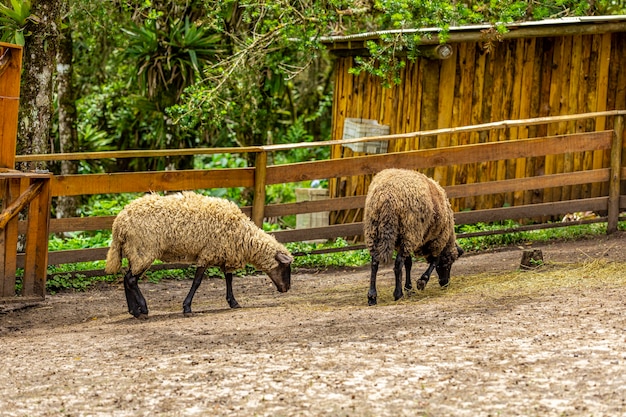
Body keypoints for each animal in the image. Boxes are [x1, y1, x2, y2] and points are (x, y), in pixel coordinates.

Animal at [105, 190, 292, 316]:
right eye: (285, 267)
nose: (287, 289)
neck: (245, 238)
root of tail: (118, 224)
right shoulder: (208, 254)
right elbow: (197, 282)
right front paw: (187, 307)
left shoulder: (224, 253)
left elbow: (229, 279)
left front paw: (233, 302)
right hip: (144, 251)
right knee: (131, 279)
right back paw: (143, 309)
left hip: (135, 252)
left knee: (127, 279)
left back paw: (133, 311)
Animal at [364, 167, 460, 304]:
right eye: (449, 263)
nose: (445, 284)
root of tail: (386, 197)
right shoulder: (436, 240)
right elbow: (434, 261)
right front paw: (421, 282)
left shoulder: (405, 241)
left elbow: (409, 263)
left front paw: (409, 288)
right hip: (409, 230)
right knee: (398, 264)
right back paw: (398, 294)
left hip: (374, 230)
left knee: (374, 262)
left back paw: (372, 296)